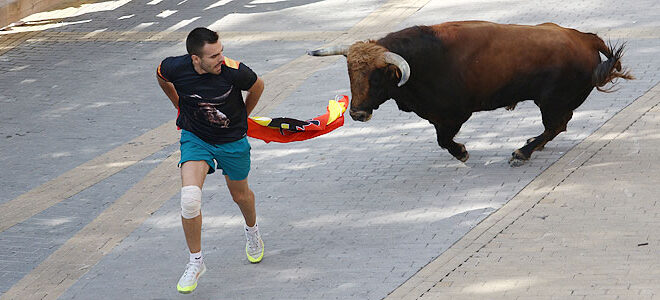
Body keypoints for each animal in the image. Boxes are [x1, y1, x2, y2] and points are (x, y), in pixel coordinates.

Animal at [310, 21, 636, 166]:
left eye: (376, 77)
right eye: (350, 73)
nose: (357, 113)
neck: (421, 60)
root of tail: (584, 38)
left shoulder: (453, 115)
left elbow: (444, 140)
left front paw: (462, 152)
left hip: (551, 101)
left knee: (556, 125)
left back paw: (523, 151)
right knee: (556, 127)